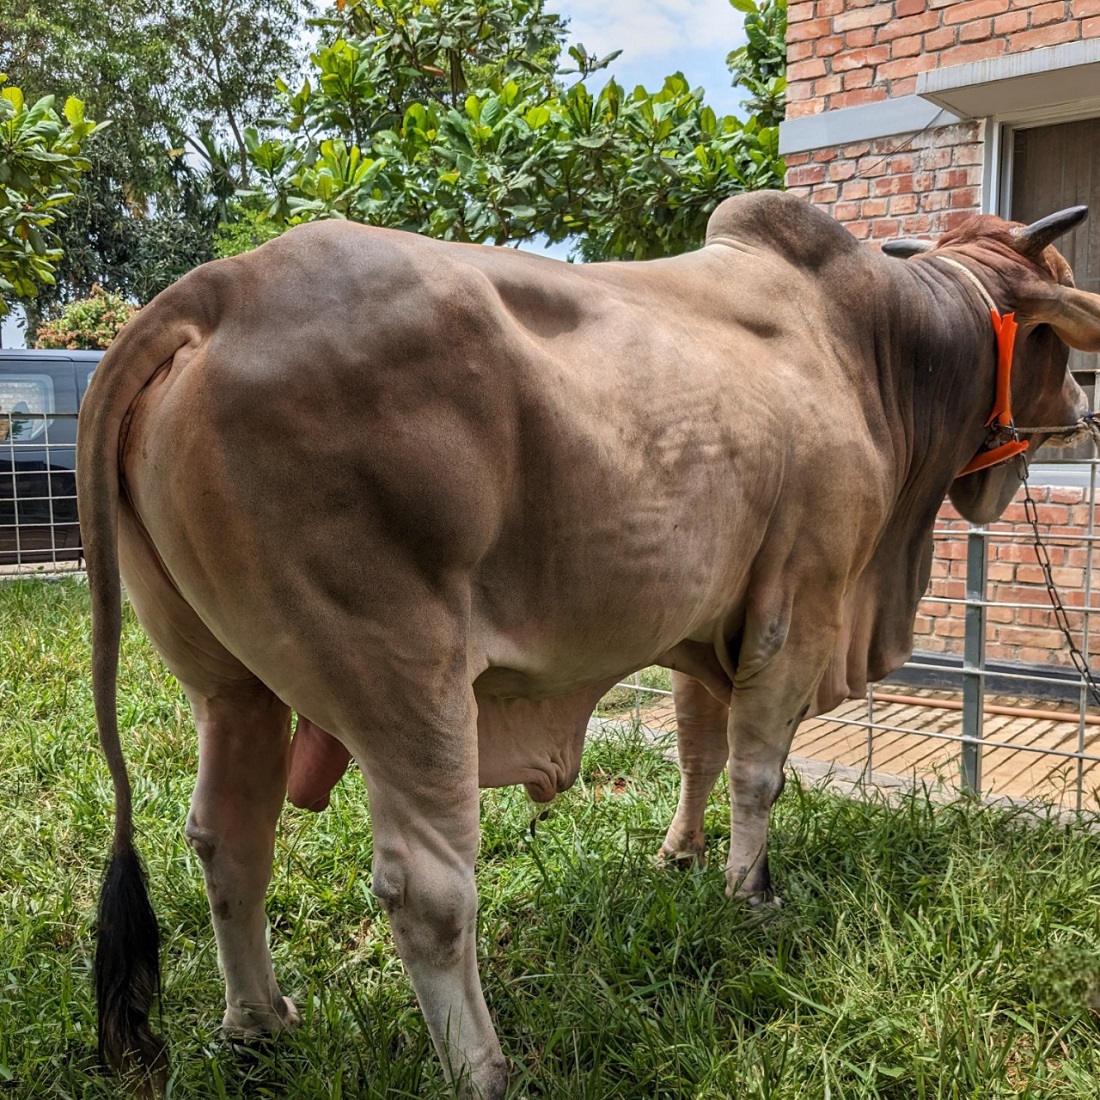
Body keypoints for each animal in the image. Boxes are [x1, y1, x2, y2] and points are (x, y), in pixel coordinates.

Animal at [77, 193, 1100, 1095]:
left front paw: (682, 858)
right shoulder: (803, 604)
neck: (877, 354)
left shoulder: (709, 623)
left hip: (225, 682)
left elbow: (697, 749)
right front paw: (752, 894)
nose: (1080, 411)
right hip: (401, 673)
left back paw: (258, 1023)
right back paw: (484, 1072)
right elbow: (756, 770)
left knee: (229, 836)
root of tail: (216, 289)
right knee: (426, 889)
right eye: (1052, 327)